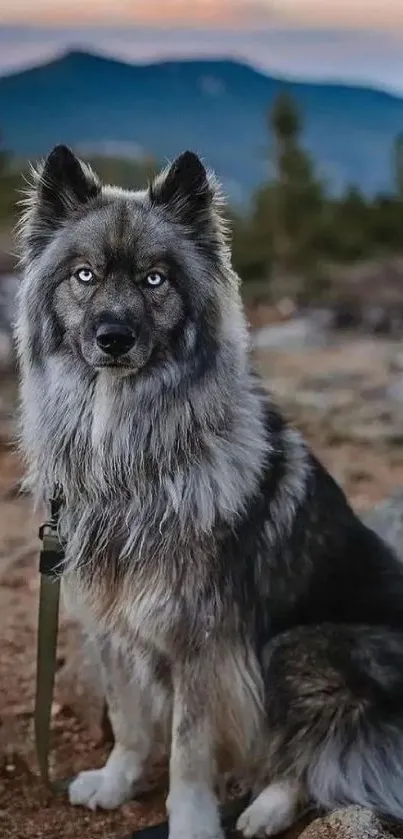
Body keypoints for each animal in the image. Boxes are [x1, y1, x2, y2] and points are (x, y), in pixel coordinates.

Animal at [15, 148, 403, 836]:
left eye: (155, 280)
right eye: (84, 275)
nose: (113, 337)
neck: (127, 450)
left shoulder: (204, 643)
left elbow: (189, 751)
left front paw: (193, 822)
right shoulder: (111, 623)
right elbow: (132, 720)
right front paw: (116, 781)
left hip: (296, 648)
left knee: (309, 754)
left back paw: (267, 807)